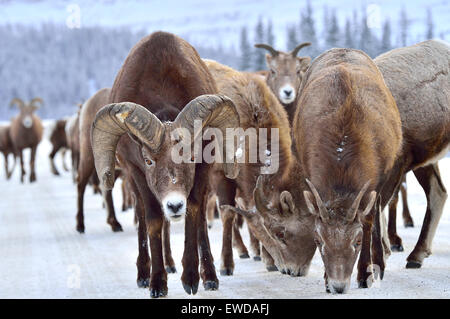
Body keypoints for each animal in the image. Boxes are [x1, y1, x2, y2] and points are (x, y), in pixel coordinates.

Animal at [89, 31, 241, 298]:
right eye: (149, 160)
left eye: (190, 157)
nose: (174, 205)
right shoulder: (137, 172)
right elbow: (153, 221)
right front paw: (157, 284)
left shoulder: (203, 168)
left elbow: (194, 212)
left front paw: (191, 279)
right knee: (142, 216)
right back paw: (144, 274)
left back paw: (208, 276)